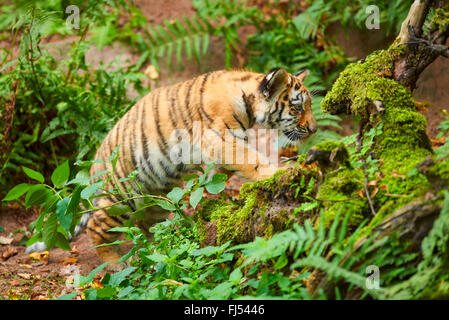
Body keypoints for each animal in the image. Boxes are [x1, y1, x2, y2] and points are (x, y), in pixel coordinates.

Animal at [28, 67, 316, 270]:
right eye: (297, 107)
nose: (313, 129)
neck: (248, 104)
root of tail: (94, 167)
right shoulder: (219, 140)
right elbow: (251, 160)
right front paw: (278, 173)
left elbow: (223, 173)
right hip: (122, 196)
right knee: (97, 227)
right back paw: (115, 263)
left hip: (154, 199)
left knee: (147, 226)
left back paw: (158, 251)